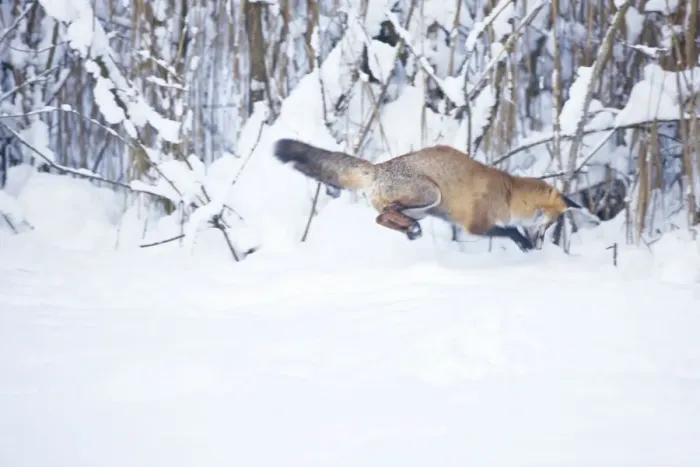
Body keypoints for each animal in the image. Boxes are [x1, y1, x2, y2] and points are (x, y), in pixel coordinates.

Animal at [272, 138, 601, 251]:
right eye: (551, 223)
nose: (543, 244)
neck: (509, 196)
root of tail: (378, 168)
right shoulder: (475, 224)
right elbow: (507, 231)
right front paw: (522, 243)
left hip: (426, 206)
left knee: (385, 218)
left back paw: (409, 230)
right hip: (431, 194)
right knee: (383, 215)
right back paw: (409, 228)